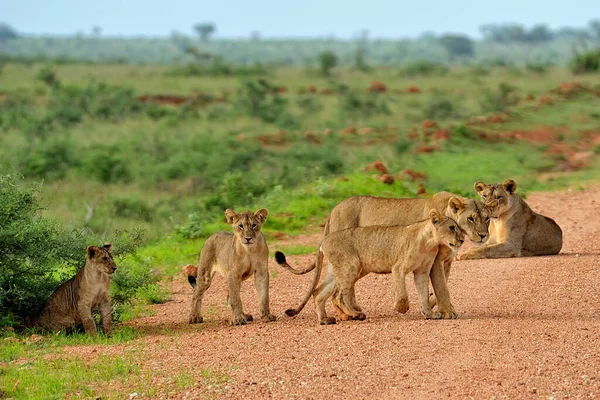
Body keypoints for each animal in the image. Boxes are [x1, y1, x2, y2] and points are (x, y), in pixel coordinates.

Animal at [282, 209, 464, 324]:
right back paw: (355, 314)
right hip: (351, 265)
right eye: (452, 228)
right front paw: (401, 308)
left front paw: (429, 313)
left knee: (319, 293)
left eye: (458, 228)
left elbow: (424, 294)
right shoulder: (398, 268)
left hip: (336, 272)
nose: (462, 240)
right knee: (337, 295)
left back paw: (325, 320)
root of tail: (324, 240)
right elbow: (403, 294)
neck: (430, 242)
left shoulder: (422, 271)